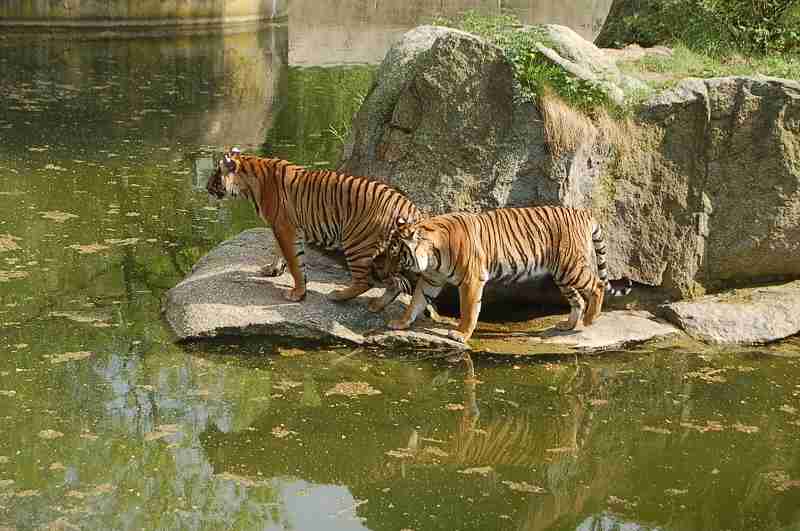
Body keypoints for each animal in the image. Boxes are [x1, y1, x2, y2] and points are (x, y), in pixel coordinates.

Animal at [205, 148, 418, 312]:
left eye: (214, 174)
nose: (206, 188)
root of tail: (410, 207)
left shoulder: (285, 229)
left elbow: (295, 263)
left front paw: (298, 293)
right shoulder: (279, 227)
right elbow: (279, 251)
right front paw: (273, 269)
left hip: (357, 243)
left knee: (366, 281)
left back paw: (337, 295)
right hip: (387, 255)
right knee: (397, 283)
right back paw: (377, 306)